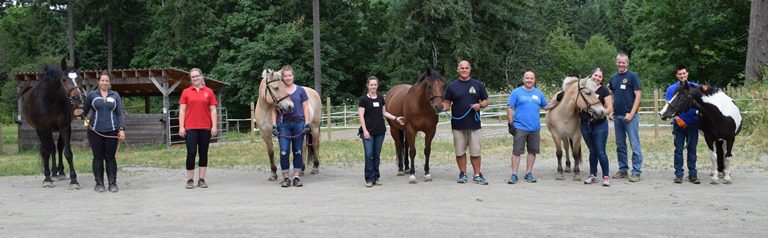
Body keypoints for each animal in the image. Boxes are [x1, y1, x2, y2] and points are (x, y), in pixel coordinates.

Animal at [19, 57, 85, 188]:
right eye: (64, 79)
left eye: (80, 78)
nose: (77, 99)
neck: (50, 100)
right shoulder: (42, 129)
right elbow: (46, 152)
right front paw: (47, 179)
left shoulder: (65, 127)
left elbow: (67, 153)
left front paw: (74, 180)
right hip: (46, 131)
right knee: (51, 149)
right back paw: (53, 174)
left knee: (57, 148)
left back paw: (59, 172)